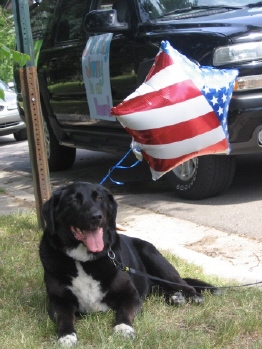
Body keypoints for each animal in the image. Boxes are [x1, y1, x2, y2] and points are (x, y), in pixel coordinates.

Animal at [40, 182, 216, 346]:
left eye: (99, 198)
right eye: (73, 200)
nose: (96, 217)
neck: (85, 260)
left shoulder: (130, 295)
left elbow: (123, 312)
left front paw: (123, 329)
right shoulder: (59, 301)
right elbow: (64, 318)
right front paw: (66, 336)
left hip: (156, 260)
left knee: (184, 285)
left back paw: (191, 296)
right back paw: (174, 297)